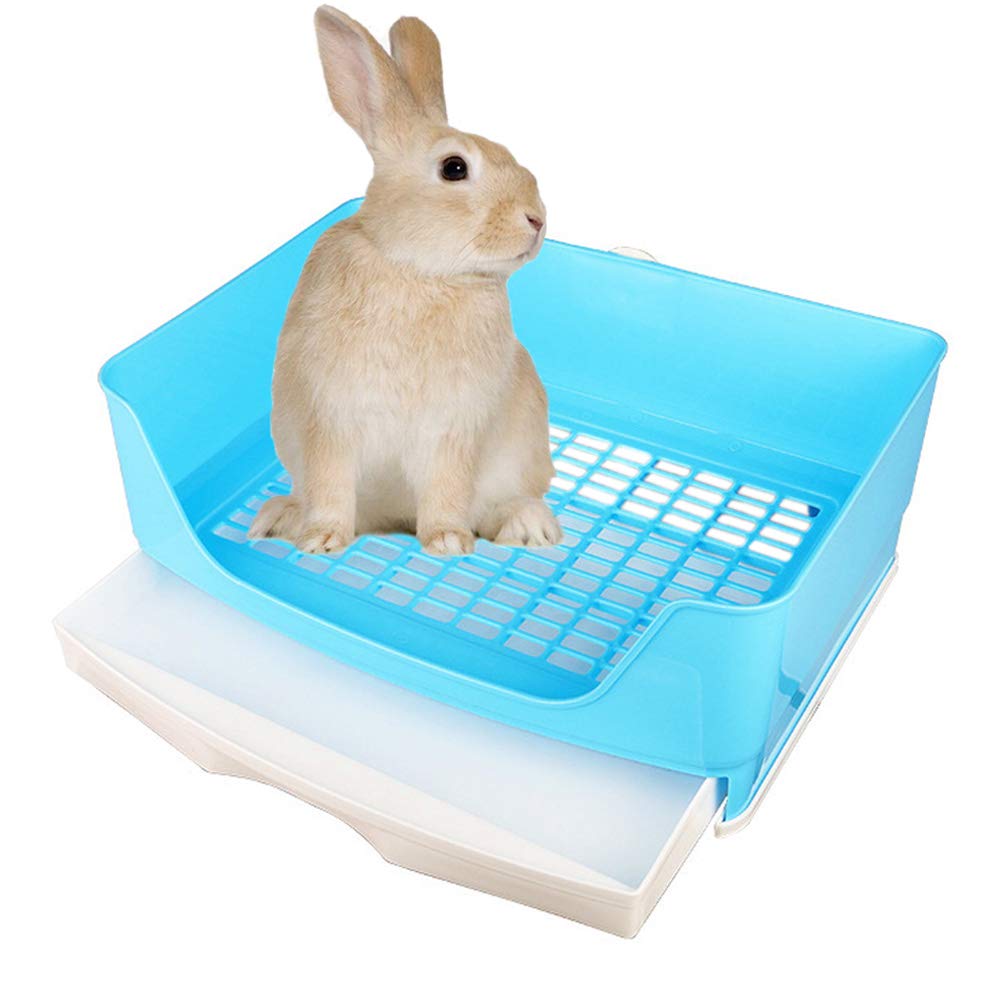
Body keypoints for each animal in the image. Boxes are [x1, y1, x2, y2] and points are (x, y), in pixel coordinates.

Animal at [249, 6, 562, 557]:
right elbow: (330, 485)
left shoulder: (452, 433)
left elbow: (446, 489)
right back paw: (282, 517)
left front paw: (447, 542)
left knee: (503, 503)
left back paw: (527, 527)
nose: (537, 220)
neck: (417, 269)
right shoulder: (330, 421)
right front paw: (321, 540)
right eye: (454, 168)